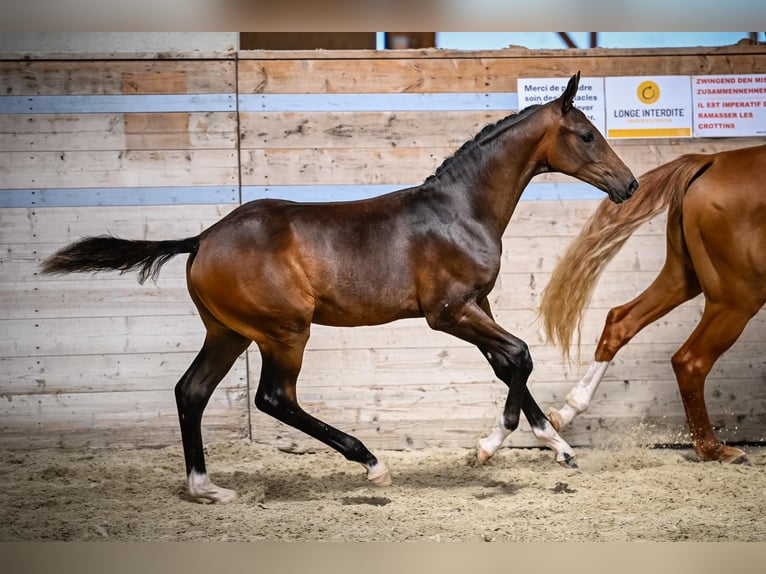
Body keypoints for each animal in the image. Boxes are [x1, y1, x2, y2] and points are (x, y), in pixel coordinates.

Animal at [39, 74, 640, 502]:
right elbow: (519, 354)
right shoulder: (447, 312)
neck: (460, 210)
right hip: (285, 331)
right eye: (586, 134)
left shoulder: (478, 305)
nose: (629, 184)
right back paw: (372, 464)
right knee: (274, 397)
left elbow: (508, 363)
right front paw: (492, 445)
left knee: (192, 391)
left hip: (229, 333)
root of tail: (203, 238)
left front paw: (557, 445)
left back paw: (206, 487)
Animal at [540, 144, 766, 468]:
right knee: (690, 361)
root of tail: (710, 160)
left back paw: (565, 412)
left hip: (681, 279)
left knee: (620, 321)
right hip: (736, 299)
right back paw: (714, 450)